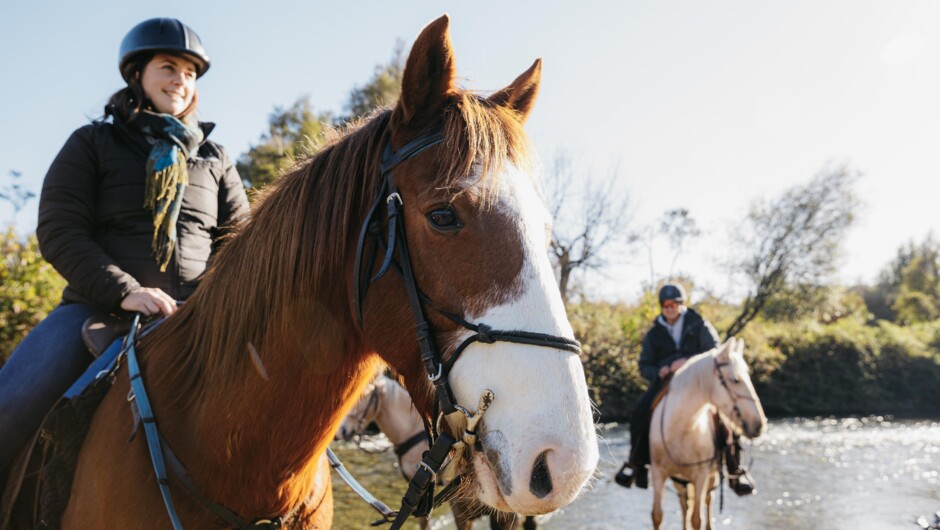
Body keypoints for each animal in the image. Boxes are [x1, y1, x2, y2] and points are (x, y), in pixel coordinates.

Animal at [648, 338, 768, 528]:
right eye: (735, 380)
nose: (759, 424)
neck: (683, 430)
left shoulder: (700, 475)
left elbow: (697, 518)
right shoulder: (659, 473)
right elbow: (657, 515)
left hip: (710, 475)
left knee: (707, 499)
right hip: (679, 479)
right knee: (684, 503)